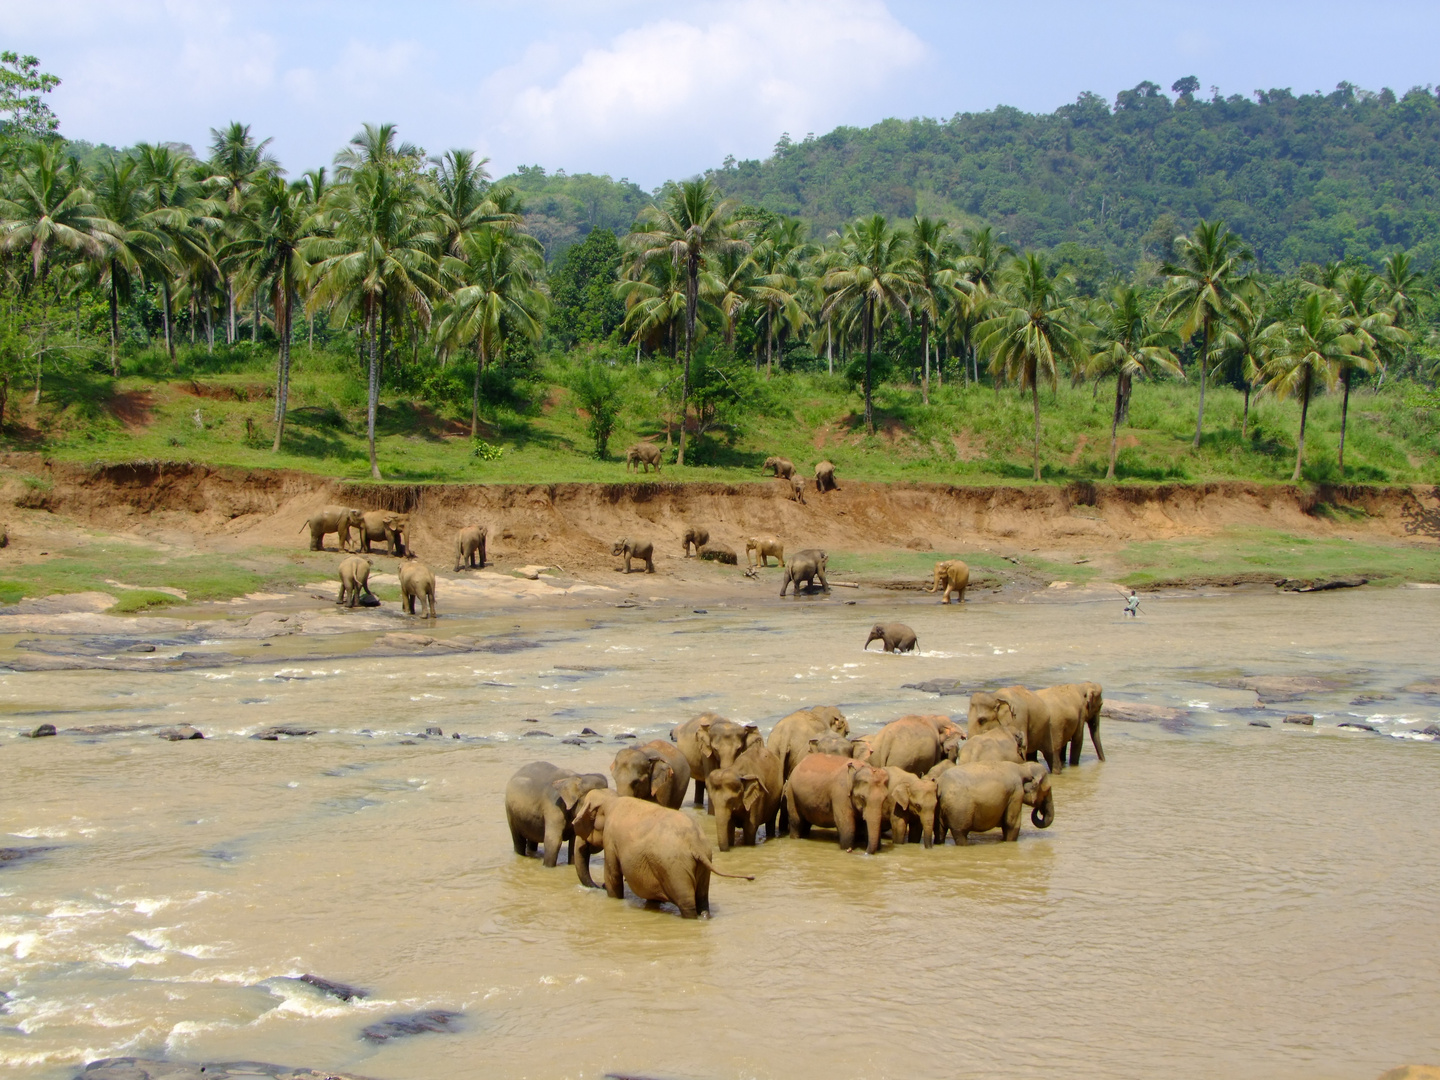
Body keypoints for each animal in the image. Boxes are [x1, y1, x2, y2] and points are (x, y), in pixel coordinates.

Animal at [570, 789, 760, 915]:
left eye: (578, 824)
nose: (598, 885)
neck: (612, 799)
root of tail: (695, 845)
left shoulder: (611, 839)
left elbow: (613, 876)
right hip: (702, 864)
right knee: (702, 900)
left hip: (674, 868)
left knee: (687, 904)